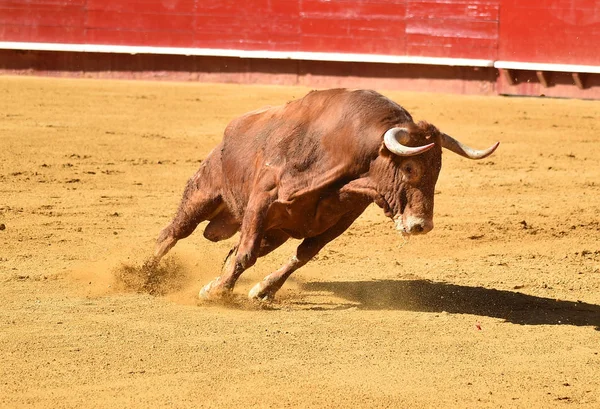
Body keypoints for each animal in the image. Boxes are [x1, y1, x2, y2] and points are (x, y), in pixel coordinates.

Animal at [152, 88, 500, 300]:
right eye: (410, 168)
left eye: (437, 171)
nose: (421, 225)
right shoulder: (262, 201)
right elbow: (246, 254)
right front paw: (217, 293)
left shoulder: (339, 220)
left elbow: (301, 256)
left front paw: (262, 291)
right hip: (204, 193)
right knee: (172, 233)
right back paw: (145, 274)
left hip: (274, 232)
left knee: (232, 250)